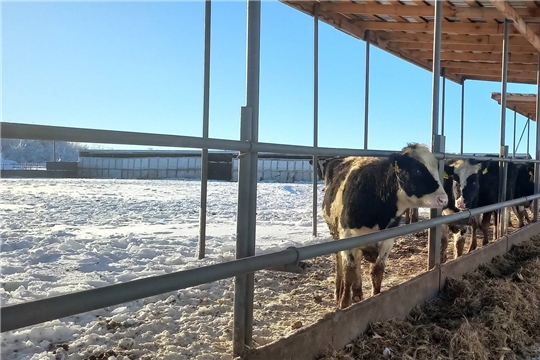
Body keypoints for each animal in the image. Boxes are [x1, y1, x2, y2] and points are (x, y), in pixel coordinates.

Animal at [320, 143, 448, 310]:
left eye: (436, 169)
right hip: (335, 233)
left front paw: (376, 297)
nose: (443, 199)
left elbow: (377, 271)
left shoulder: (387, 239)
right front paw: (344, 305)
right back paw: (338, 291)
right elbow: (349, 272)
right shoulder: (347, 237)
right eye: (417, 170)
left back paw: (358, 292)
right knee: (340, 262)